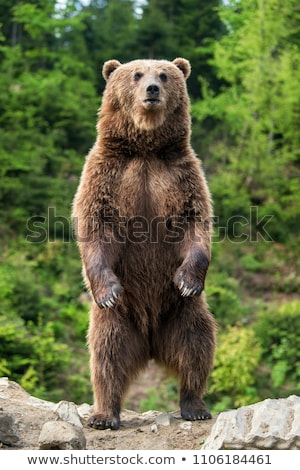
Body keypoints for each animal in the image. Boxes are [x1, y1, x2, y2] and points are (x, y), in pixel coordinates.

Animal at [72, 57, 216, 430]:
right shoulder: (106, 174)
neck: (146, 149)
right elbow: (95, 225)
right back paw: (104, 414)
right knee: (106, 356)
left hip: (181, 312)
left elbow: (195, 222)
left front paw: (188, 280)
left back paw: (195, 405)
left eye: (164, 75)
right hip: (119, 320)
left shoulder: (181, 175)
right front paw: (107, 289)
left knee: (197, 346)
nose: (152, 89)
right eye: (137, 74)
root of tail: (151, 344)